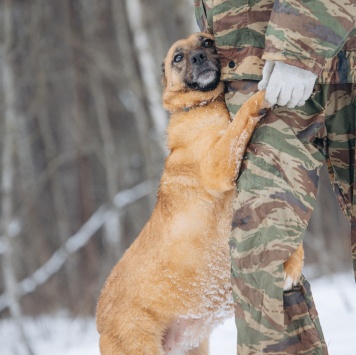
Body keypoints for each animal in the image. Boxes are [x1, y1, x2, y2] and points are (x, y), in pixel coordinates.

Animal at [96, 32, 302, 354]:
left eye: (206, 42)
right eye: (178, 58)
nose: (198, 57)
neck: (203, 106)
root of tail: (99, 323)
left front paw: (294, 265)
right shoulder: (219, 165)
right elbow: (243, 116)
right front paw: (265, 92)